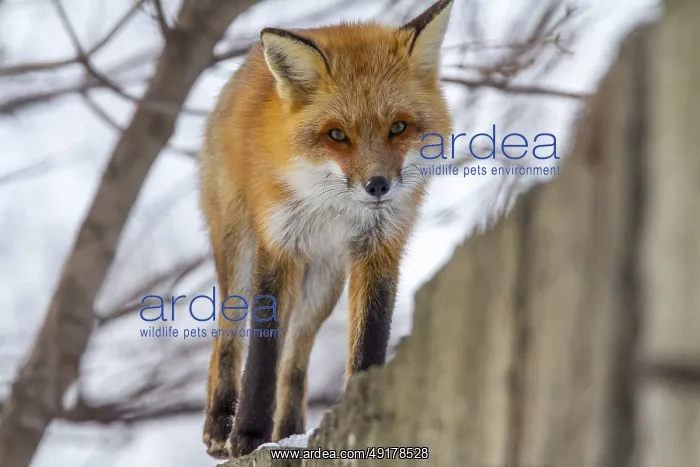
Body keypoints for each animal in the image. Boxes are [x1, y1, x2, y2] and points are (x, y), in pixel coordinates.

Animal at [199, 0, 454, 459]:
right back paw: (221, 421)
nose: (377, 186)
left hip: (322, 283)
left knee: (296, 359)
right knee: (229, 336)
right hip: (239, 250)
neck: (335, 207)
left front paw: (360, 405)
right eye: (337, 135)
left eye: (398, 127)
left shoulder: (380, 245)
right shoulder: (278, 243)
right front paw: (248, 435)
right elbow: (262, 353)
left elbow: (370, 333)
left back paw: (290, 431)